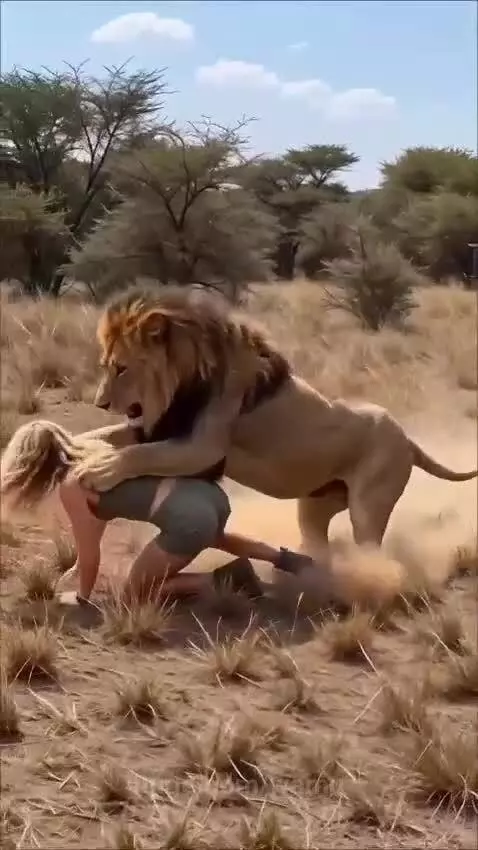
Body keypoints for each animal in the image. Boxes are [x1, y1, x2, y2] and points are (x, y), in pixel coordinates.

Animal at [79, 285, 478, 557]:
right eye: (105, 366)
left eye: (122, 368)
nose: (100, 402)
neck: (187, 375)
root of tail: (406, 437)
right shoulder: (160, 426)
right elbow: (110, 435)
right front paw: (76, 444)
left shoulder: (202, 446)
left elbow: (142, 454)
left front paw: (99, 469)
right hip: (315, 506)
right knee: (317, 540)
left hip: (369, 507)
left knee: (370, 546)